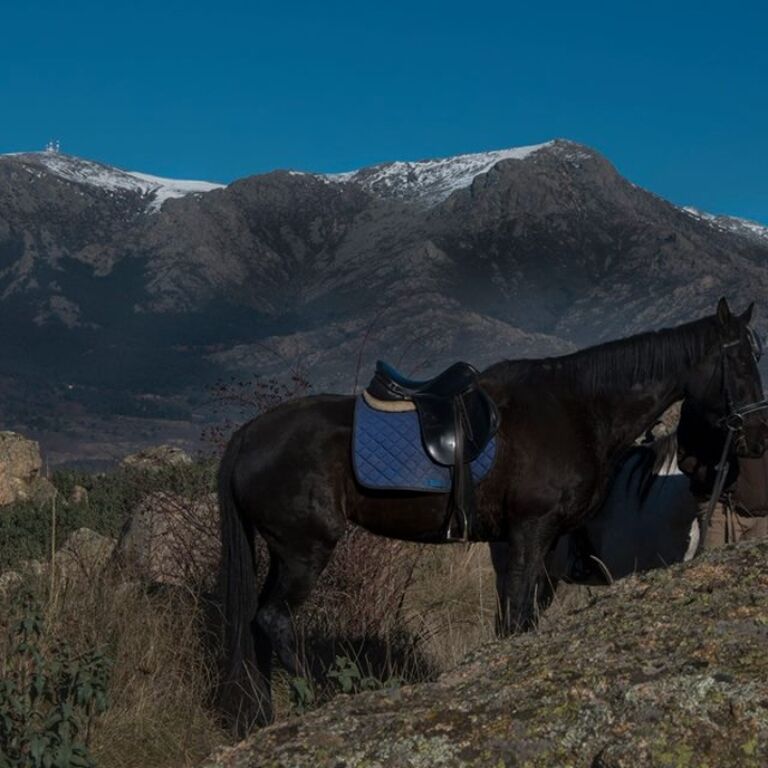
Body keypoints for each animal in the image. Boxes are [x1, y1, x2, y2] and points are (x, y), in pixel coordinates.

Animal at [216, 298, 767, 731]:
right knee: (275, 620)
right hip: (305, 549)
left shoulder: (533, 546)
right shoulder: (530, 532)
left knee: (257, 624)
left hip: (283, 552)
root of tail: (248, 435)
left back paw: (264, 716)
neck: (577, 409)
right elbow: (518, 619)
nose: (758, 437)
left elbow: (516, 620)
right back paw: (318, 700)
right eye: (740, 359)